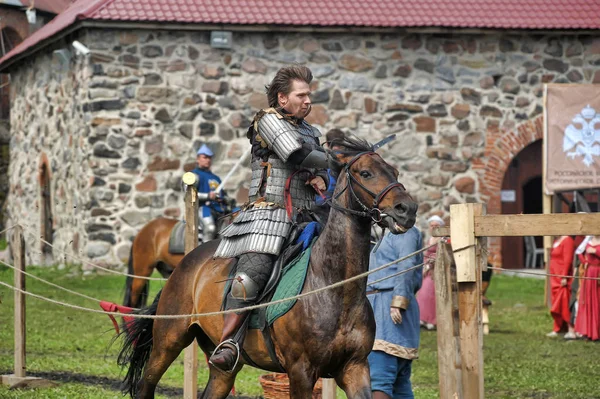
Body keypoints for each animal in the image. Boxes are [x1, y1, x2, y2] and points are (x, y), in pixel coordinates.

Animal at [117, 138, 418, 399]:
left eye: (394, 171)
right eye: (366, 173)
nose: (407, 209)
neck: (333, 287)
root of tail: (187, 263)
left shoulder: (355, 368)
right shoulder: (301, 371)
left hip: (222, 367)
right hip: (168, 341)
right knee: (146, 383)